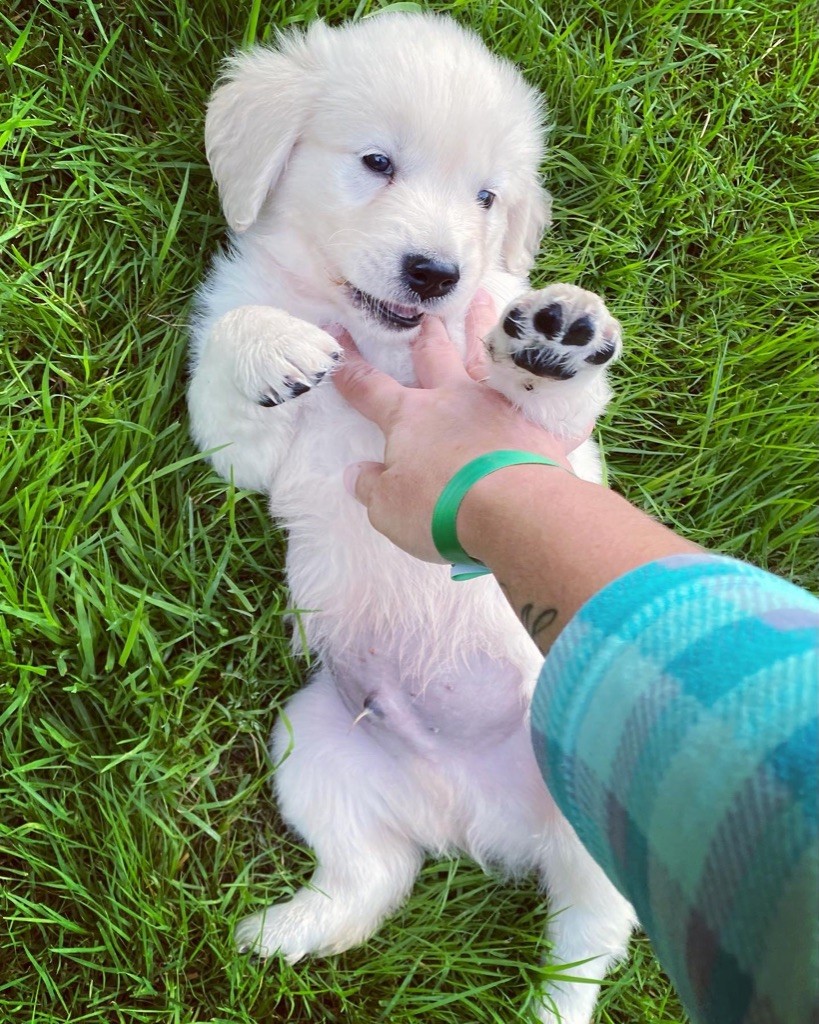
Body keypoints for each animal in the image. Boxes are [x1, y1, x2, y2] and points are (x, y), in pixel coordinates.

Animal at [188, 14, 634, 1024]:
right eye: (376, 162)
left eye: (485, 196)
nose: (435, 273)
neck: (384, 345)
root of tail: (477, 817)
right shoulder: (240, 448)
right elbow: (236, 353)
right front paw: (277, 347)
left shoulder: (557, 455)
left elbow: (541, 418)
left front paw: (559, 335)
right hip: (313, 743)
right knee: (373, 878)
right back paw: (280, 935)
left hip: (605, 796)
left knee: (586, 943)